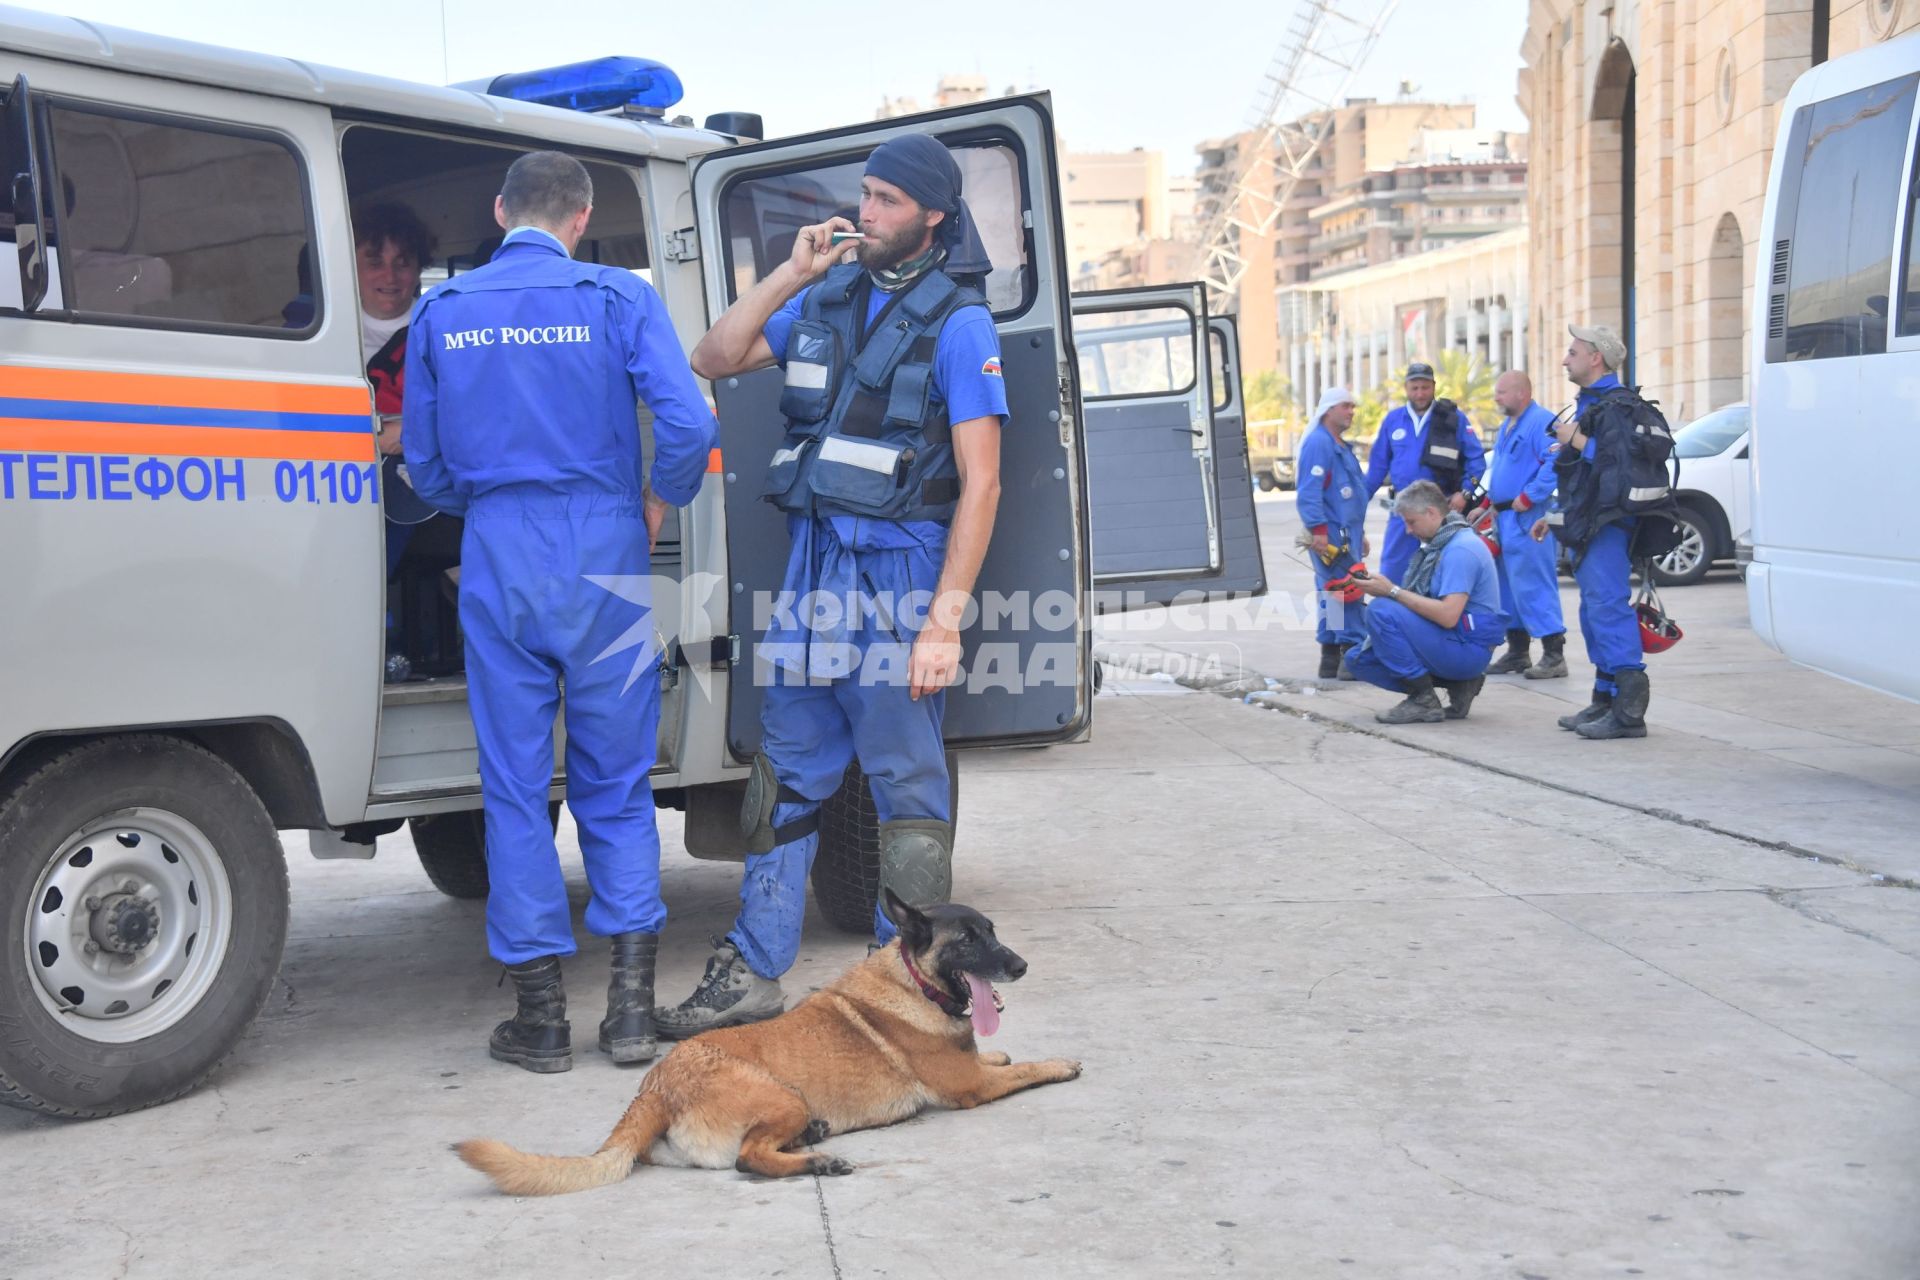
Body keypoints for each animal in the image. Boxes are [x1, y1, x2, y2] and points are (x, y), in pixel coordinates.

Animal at [451, 890, 1082, 1189]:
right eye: (968, 940)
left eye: (993, 932)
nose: (1020, 966)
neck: (915, 981)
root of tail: (655, 1086)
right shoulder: (970, 1087)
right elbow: (1023, 1070)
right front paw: (1059, 1063)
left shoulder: (970, 1064)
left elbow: (999, 1056)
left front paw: (1002, 1047)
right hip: (783, 1096)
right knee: (748, 1160)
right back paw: (819, 1159)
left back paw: (813, 1140)